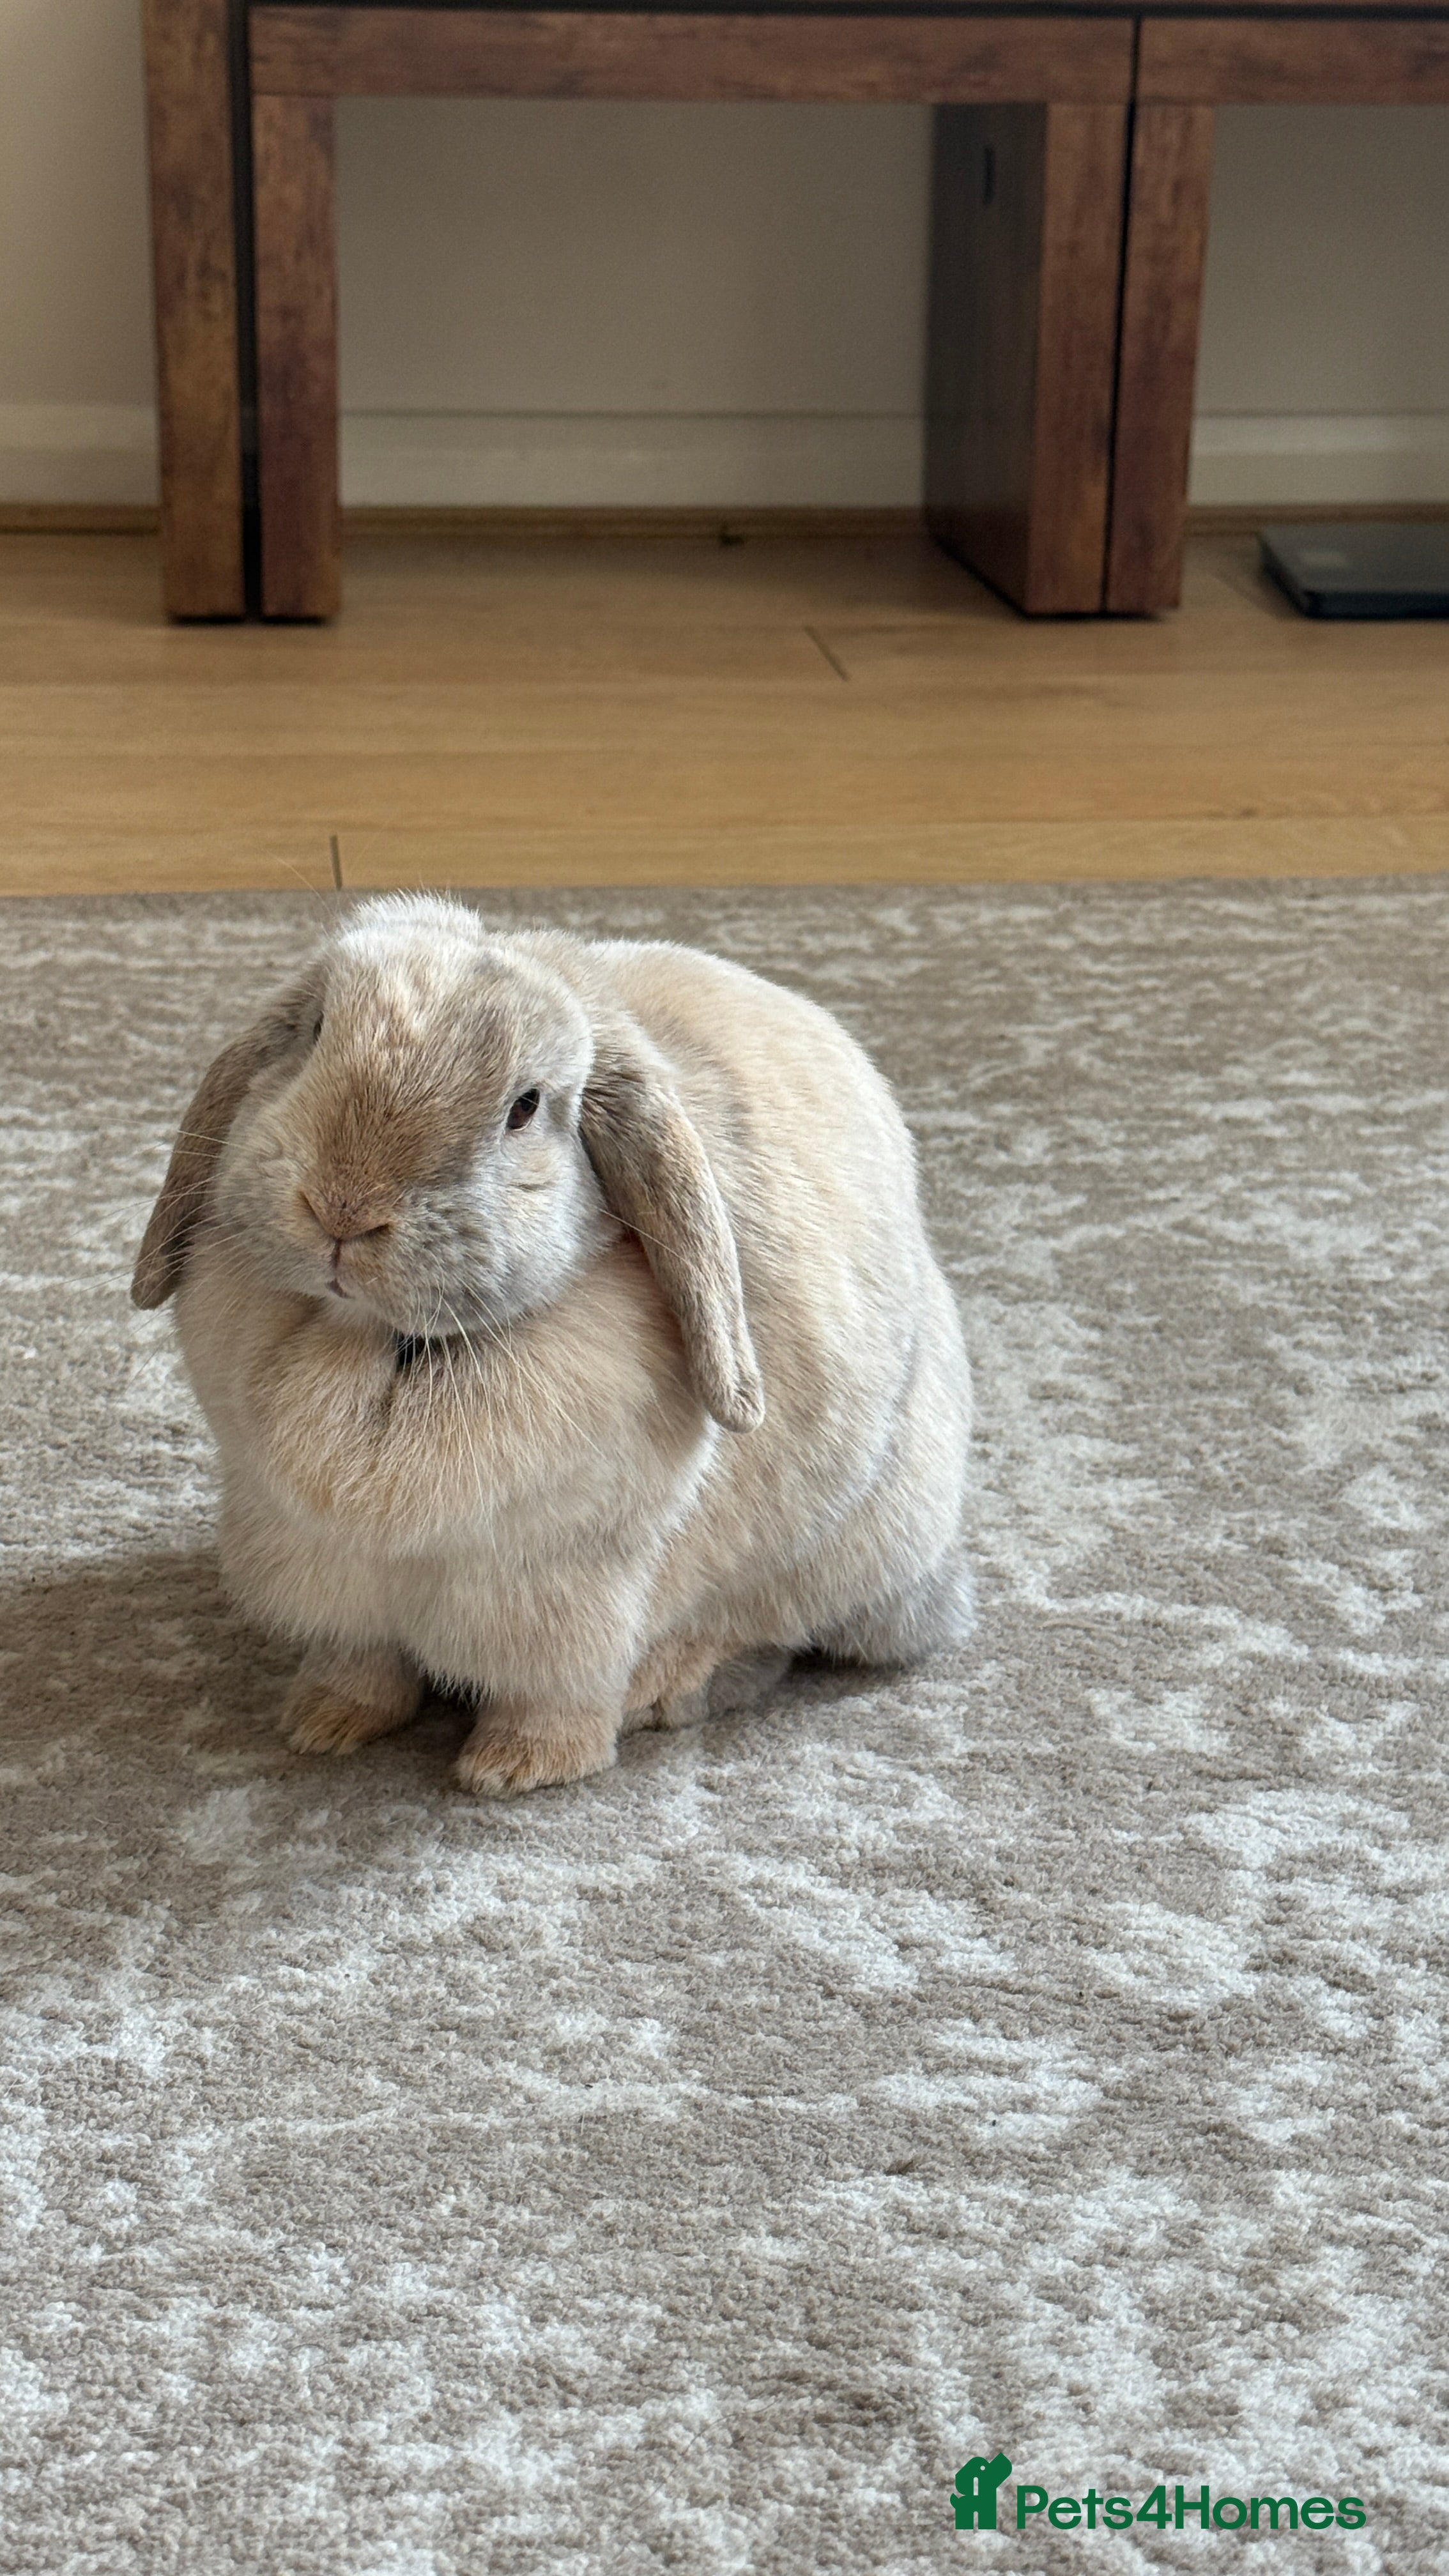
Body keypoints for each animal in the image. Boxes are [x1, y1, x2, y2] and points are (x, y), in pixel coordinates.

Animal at [132, 895, 973, 1795]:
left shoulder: (569, 1591)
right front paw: (324, 1723)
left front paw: (513, 1770)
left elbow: (558, 1693)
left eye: (526, 1107)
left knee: (768, 1631)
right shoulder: (328, 1570)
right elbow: (363, 1662)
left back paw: (667, 1688)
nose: (343, 1210)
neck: (388, 1345)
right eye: (317, 1033)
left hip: (839, 1544)